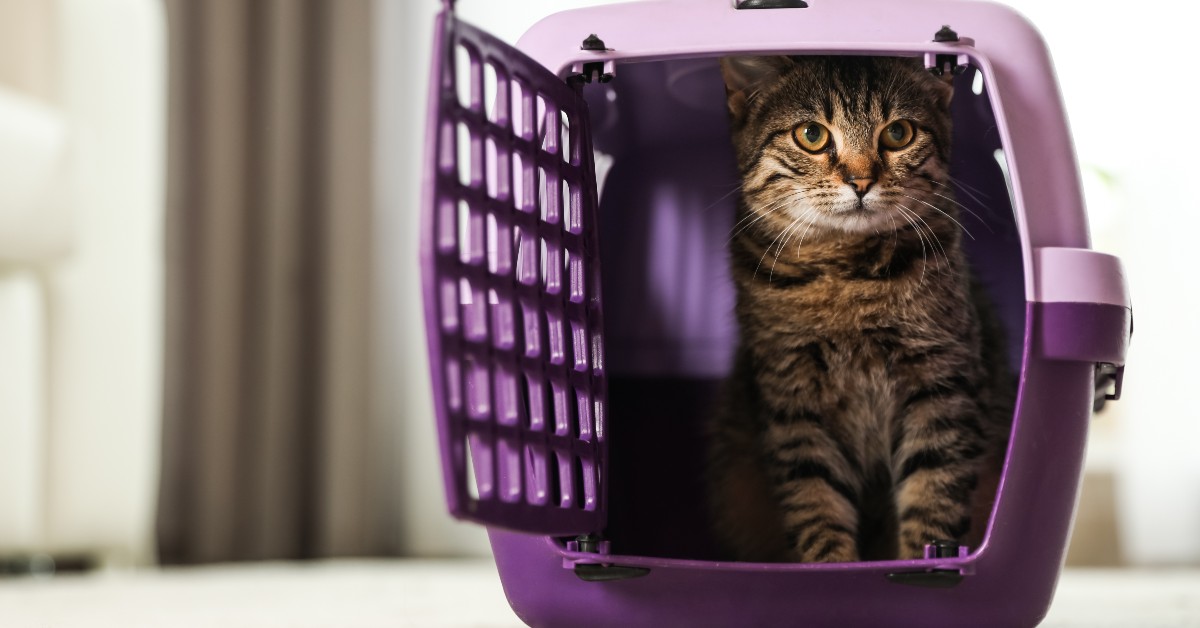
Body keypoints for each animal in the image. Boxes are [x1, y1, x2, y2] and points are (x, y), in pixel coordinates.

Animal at [705, 56, 1017, 561]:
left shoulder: (941, 387)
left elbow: (933, 502)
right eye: (811, 135)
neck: (845, 272)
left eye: (899, 134)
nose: (861, 181)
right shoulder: (794, 403)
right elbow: (815, 506)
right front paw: (831, 566)